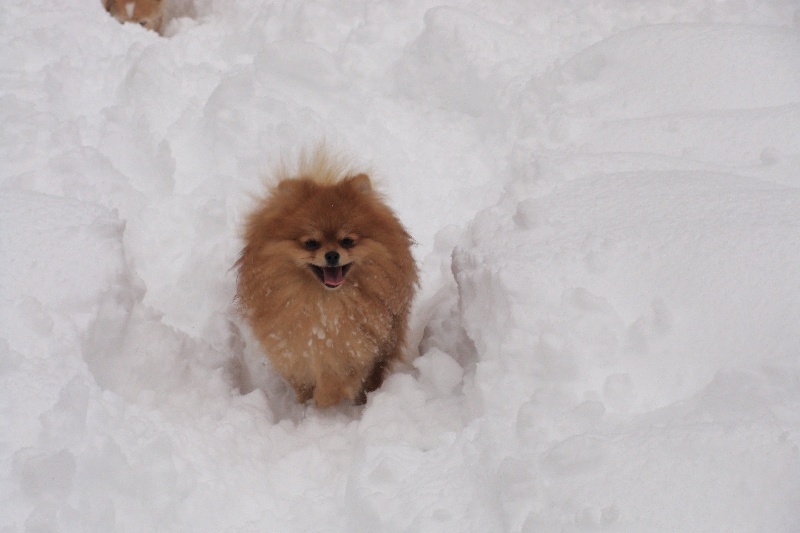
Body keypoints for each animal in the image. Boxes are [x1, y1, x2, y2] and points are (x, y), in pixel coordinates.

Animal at [234, 151, 418, 408]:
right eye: (311, 243)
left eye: (347, 241)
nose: (332, 255)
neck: (326, 304)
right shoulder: (294, 348)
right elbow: (302, 378)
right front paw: (307, 403)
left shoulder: (357, 348)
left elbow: (337, 378)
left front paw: (324, 400)